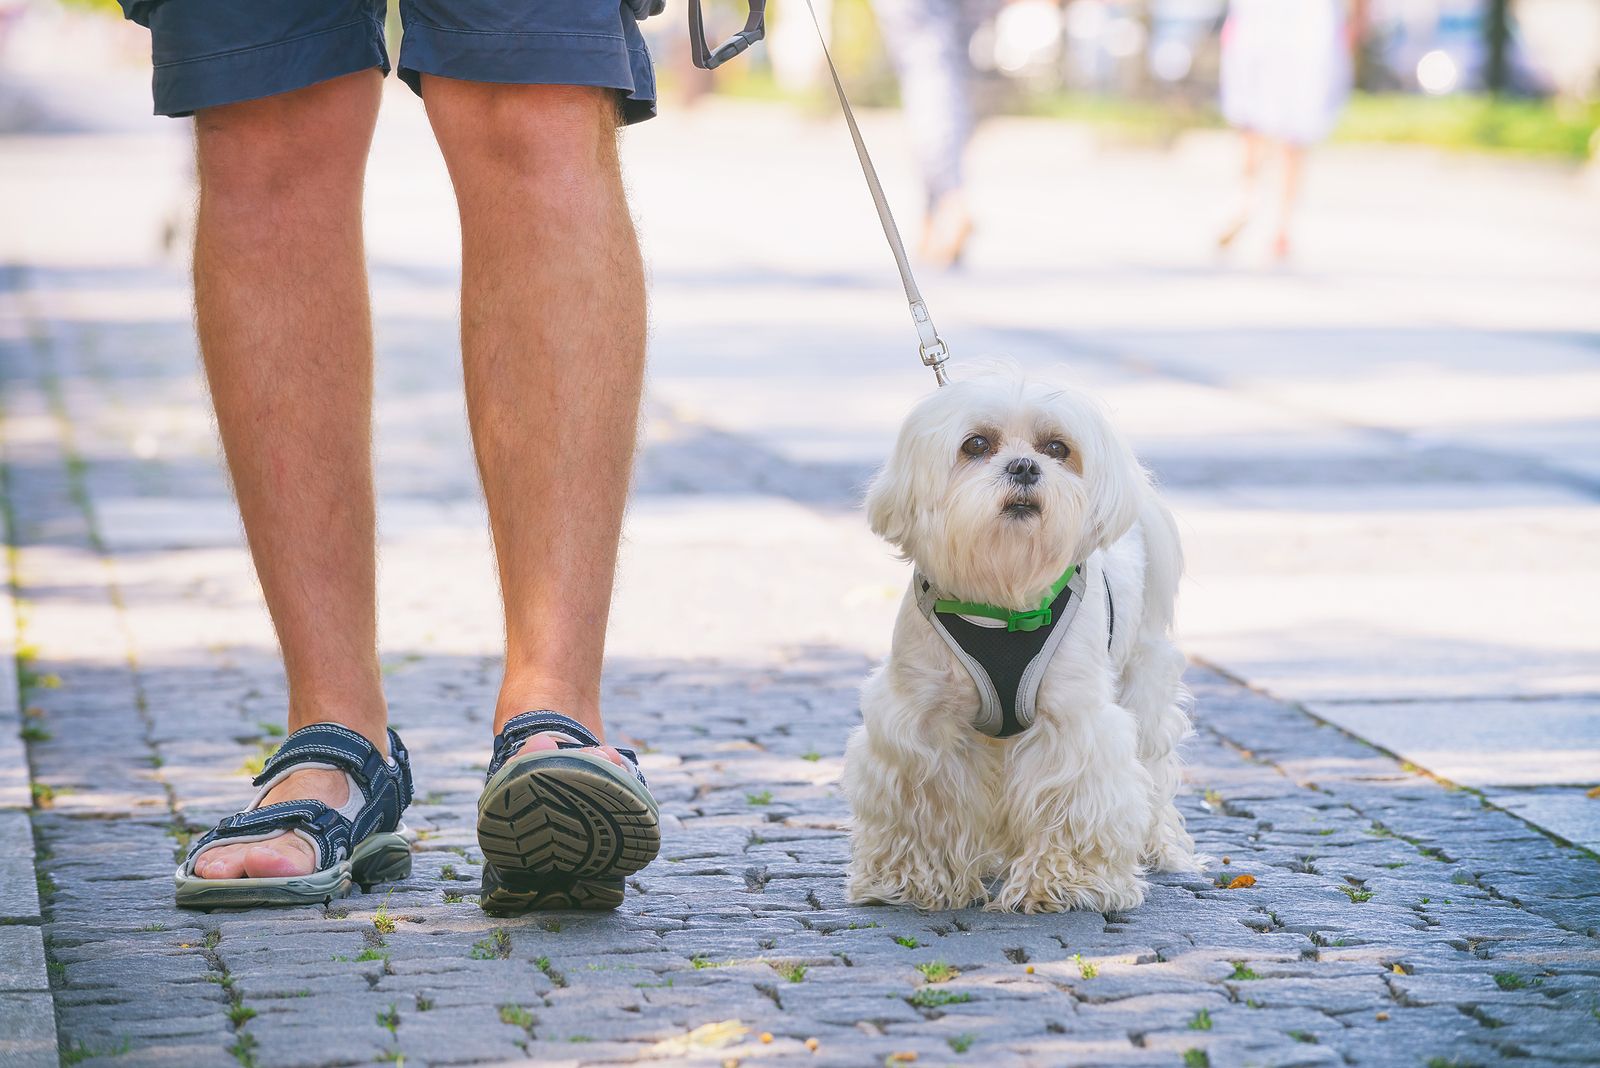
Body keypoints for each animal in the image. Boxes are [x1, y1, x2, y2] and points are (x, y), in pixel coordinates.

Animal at [844, 370, 1196, 914]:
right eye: (976, 445)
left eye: (1057, 448)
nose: (1026, 466)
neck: (1002, 599)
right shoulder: (921, 720)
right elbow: (924, 801)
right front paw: (916, 880)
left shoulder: (1071, 721)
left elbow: (1072, 796)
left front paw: (1065, 882)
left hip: (1143, 681)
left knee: (1154, 768)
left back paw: (1157, 846)